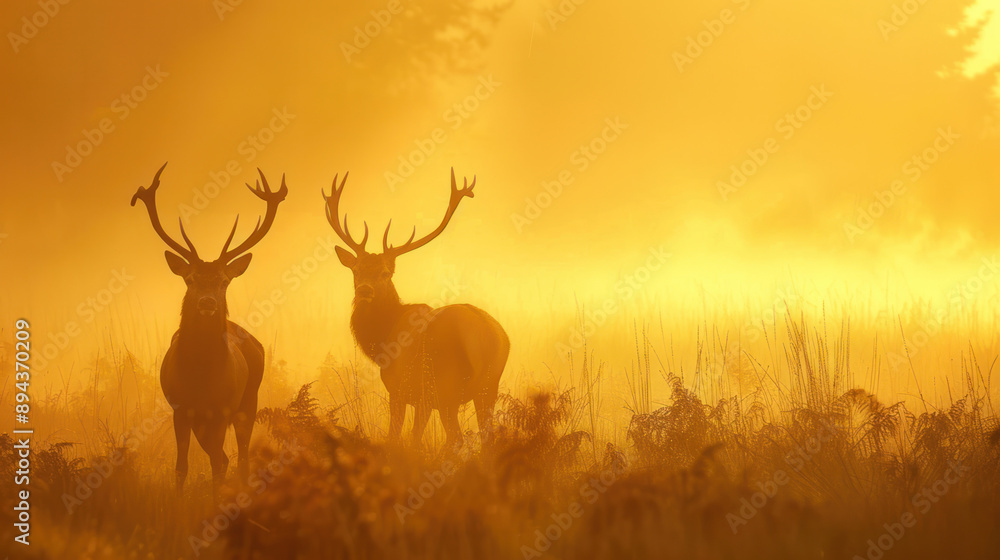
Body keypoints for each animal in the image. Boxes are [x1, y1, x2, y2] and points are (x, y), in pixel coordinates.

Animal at [131, 162, 287, 492]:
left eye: (224, 281)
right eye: (190, 279)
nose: (207, 302)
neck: (200, 377)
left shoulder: (221, 409)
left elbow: (218, 464)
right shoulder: (180, 409)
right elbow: (182, 467)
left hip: (249, 401)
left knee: (239, 459)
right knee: (226, 458)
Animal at [324, 168, 509, 451]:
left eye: (385, 272)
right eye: (356, 270)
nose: (365, 290)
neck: (382, 340)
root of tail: (488, 336)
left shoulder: (402, 390)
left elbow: (400, 437)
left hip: (445, 386)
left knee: (454, 438)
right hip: (489, 388)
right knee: (486, 438)